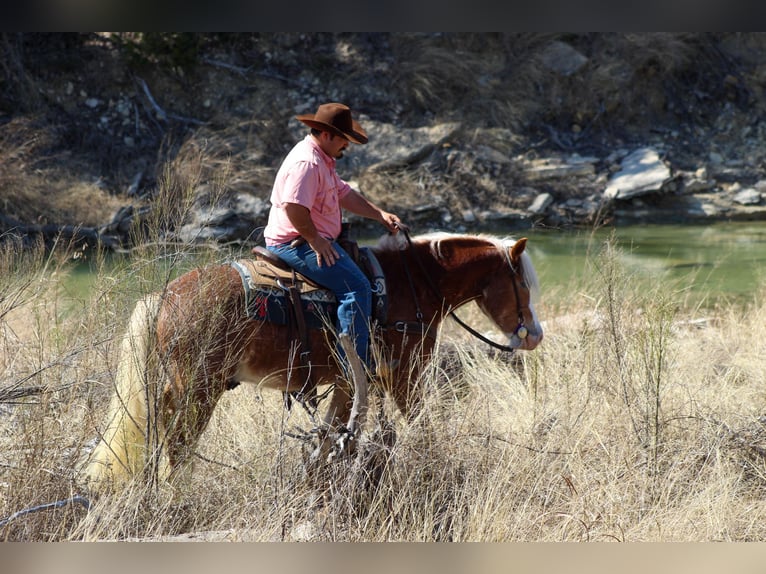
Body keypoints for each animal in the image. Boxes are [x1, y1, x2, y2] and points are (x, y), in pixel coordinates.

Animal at [84, 232, 544, 492]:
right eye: (521, 283)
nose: (535, 334)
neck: (409, 285)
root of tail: (164, 298)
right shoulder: (404, 376)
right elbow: (422, 424)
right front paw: (440, 465)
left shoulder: (351, 382)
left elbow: (336, 432)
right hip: (199, 387)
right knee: (177, 443)